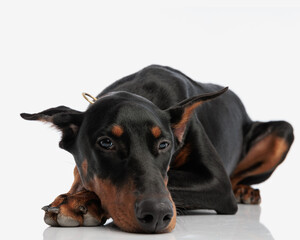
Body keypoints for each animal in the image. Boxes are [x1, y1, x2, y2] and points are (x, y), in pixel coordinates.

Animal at [20, 64, 292, 233]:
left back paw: (244, 190)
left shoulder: (216, 182)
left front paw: (81, 202)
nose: (158, 216)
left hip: (284, 131)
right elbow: (82, 175)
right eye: (106, 143)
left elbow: (173, 180)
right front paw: (74, 198)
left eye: (164, 144)